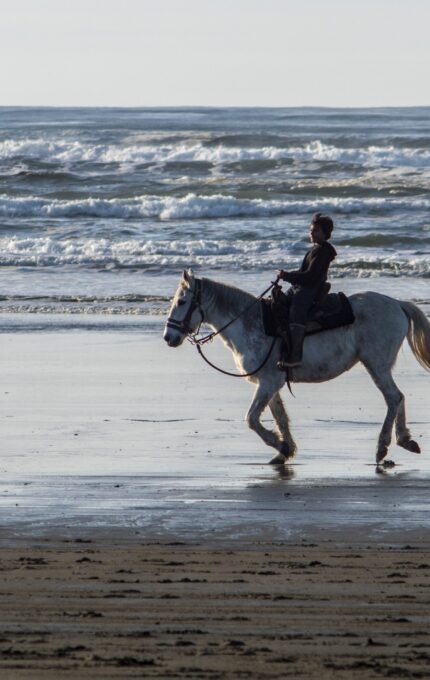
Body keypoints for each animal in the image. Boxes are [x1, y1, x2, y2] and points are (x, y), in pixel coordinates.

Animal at [165, 268, 430, 464]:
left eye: (182, 301)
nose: (169, 337)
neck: (250, 323)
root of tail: (397, 303)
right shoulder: (270, 383)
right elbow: (279, 417)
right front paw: (285, 450)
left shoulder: (268, 382)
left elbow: (251, 418)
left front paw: (281, 446)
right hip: (379, 366)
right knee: (398, 397)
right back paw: (405, 440)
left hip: (376, 365)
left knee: (394, 398)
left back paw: (382, 448)